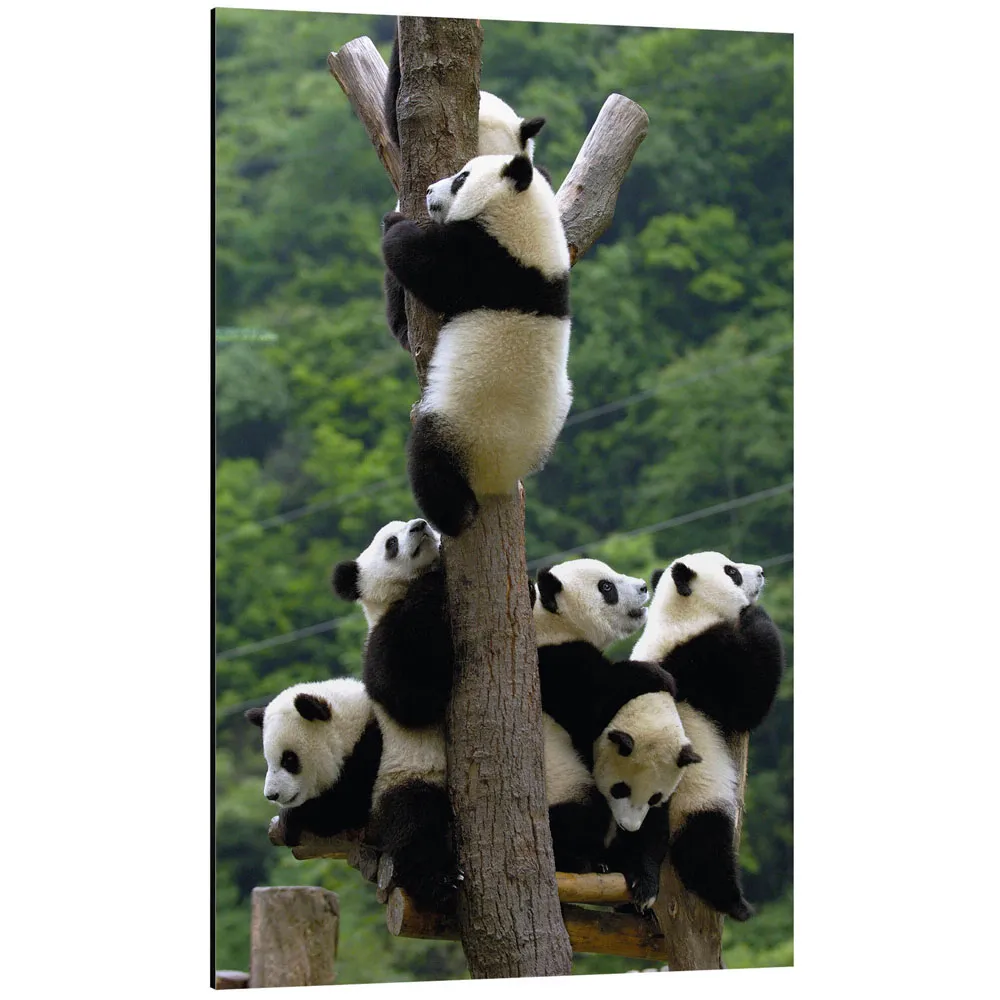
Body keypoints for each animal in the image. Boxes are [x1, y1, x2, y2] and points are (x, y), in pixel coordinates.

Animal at [382, 152, 572, 538]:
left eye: (461, 178)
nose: (428, 190)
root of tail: (503, 475)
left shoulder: (486, 265)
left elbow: (425, 267)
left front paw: (394, 223)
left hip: (462, 426)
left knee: (429, 462)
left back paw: (455, 516)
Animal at [532, 558, 701, 908]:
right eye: (606, 587)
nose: (643, 586)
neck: (554, 622)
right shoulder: (552, 662)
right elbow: (592, 704)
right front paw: (657, 675)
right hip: (562, 781)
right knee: (580, 812)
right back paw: (584, 860)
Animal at [631, 551, 786, 922]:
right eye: (731, 571)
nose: (761, 572)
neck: (680, 614)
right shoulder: (702, 661)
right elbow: (749, 700)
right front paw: (754, 612)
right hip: (692, 795)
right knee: (704, 845)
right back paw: (736, 904)